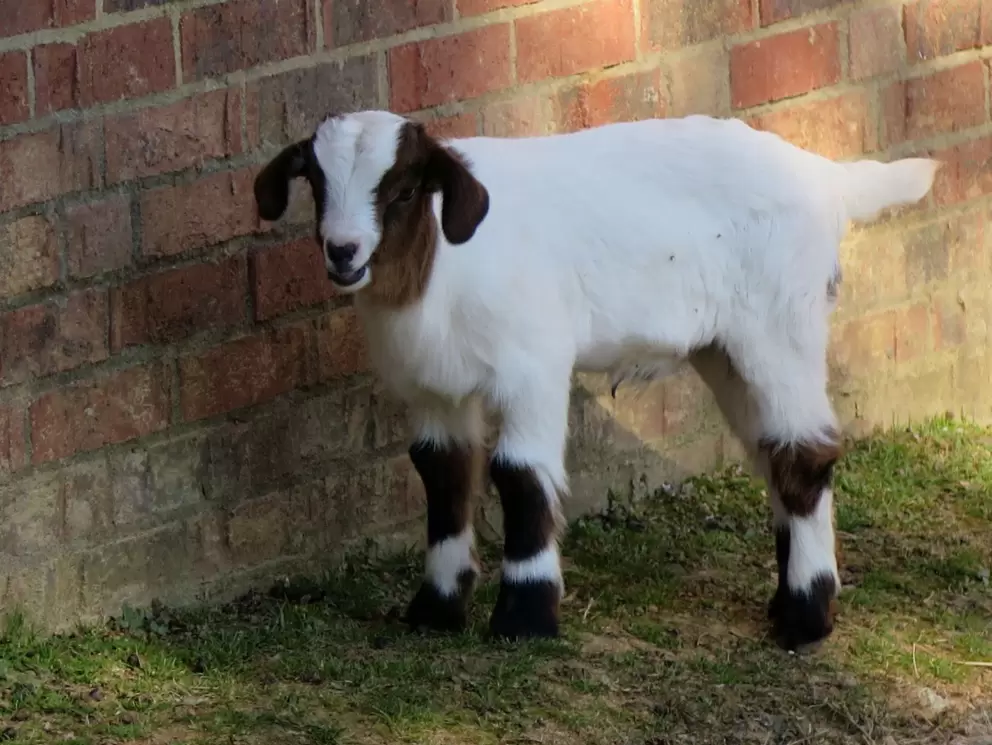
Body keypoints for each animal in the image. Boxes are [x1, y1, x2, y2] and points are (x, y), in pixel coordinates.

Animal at [253, 110, 939, 651]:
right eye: (316, 183)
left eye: (400, 191)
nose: (343, 251)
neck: (439, 265)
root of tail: (826, 176)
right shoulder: (433, 390)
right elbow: (442, 475)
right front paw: (435, 610)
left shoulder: (532, 366)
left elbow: (521, 478)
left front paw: (525, 618)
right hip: (725, 350)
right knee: (774, 452)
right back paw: (789, 600)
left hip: (780, 326)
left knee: (806, 452)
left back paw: (805, 619)